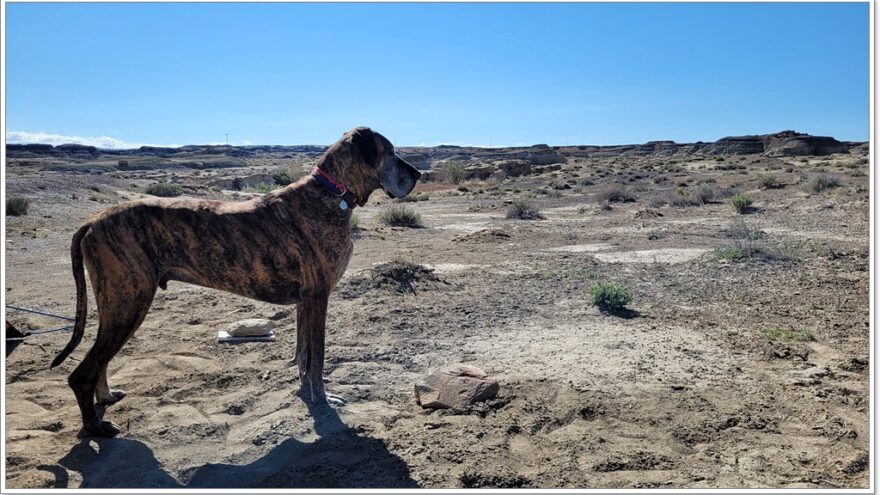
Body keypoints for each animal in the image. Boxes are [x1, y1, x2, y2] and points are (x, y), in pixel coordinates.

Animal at [51, 127, 422, 438]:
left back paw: (105, 397)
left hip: (116, 305)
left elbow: (303, 353)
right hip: (129, 303)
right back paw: (95, 427)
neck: (332, 193)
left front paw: (306, 390)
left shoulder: (305, 302)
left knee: (99, 361)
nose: (419, 174)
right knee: (82, 372)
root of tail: (92, 220)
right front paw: (324, 398)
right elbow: (316, 358)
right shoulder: (319, 298)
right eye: (390, 151)